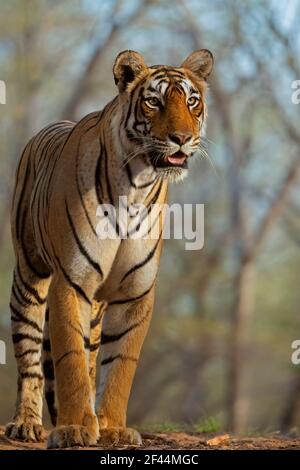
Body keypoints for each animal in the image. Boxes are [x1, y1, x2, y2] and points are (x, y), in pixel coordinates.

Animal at [5, 48, 212, 448]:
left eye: (191, 101)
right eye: (153, 101)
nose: (182, 138)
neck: (138, 184)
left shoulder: (135, 292)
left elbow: (119, 366)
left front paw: (112, 427)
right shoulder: (70, 282)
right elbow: (70, 358)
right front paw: (73, 429)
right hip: (30, 277)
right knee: (31, 358)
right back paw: (26, 423)